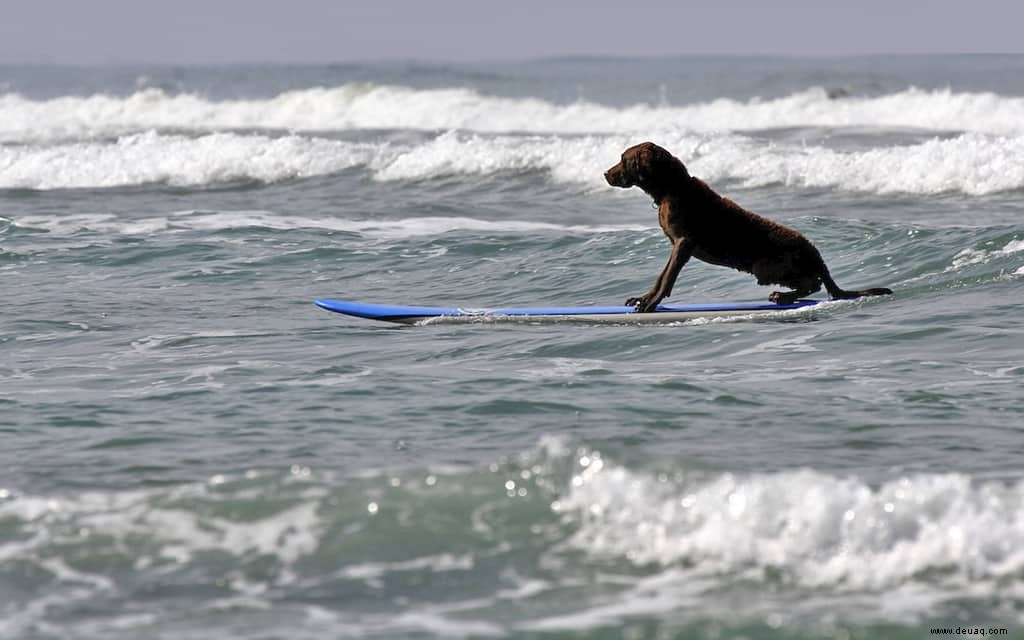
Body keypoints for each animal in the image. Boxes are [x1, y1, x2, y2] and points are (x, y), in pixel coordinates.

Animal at [602, 141, 892, 311]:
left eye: (623, 159)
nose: (605, 173)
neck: (672, 188)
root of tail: (814, 252)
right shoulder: (676, 246)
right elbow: (662, 275)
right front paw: (644, 298)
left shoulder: (683, 245)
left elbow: (667, 278)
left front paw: (651, 303)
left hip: (765, 267)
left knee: (814, 283)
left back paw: (783, 297)